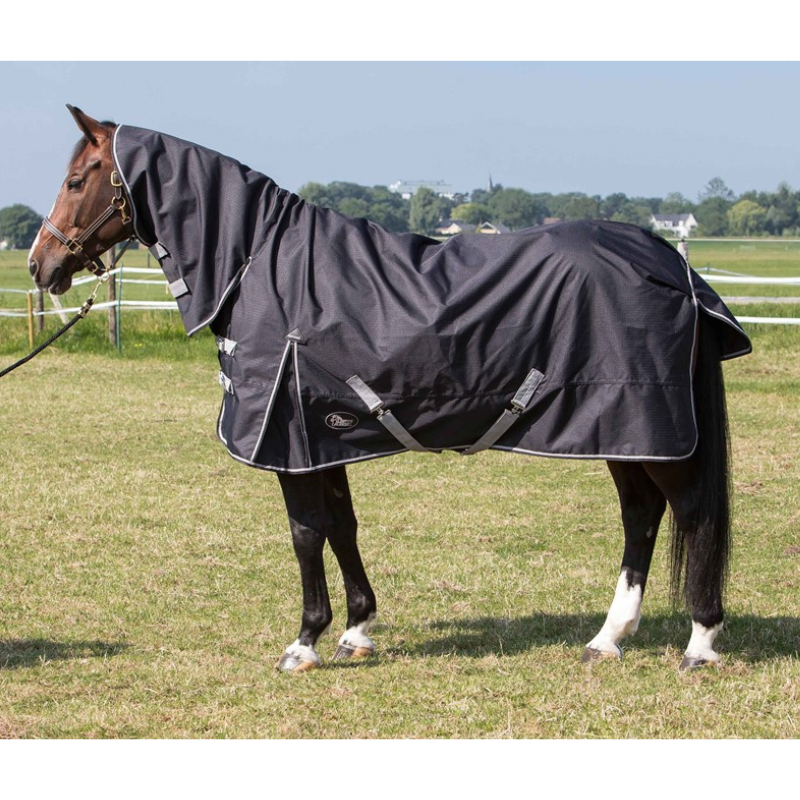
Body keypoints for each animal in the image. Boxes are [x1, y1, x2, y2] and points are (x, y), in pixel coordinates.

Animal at [27, 105, 751, 673]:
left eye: (74, 180)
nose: (40, 263)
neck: (259, 263)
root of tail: (672, 264)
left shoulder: (289, 440)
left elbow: (305, 533)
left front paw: (304, 642)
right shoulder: (323, 437)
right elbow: (342, 526)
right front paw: (356, 630)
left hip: (650, 428)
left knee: (691, 514)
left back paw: (700, 642)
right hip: (624, 432)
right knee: (641, 516)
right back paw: (607, 639)